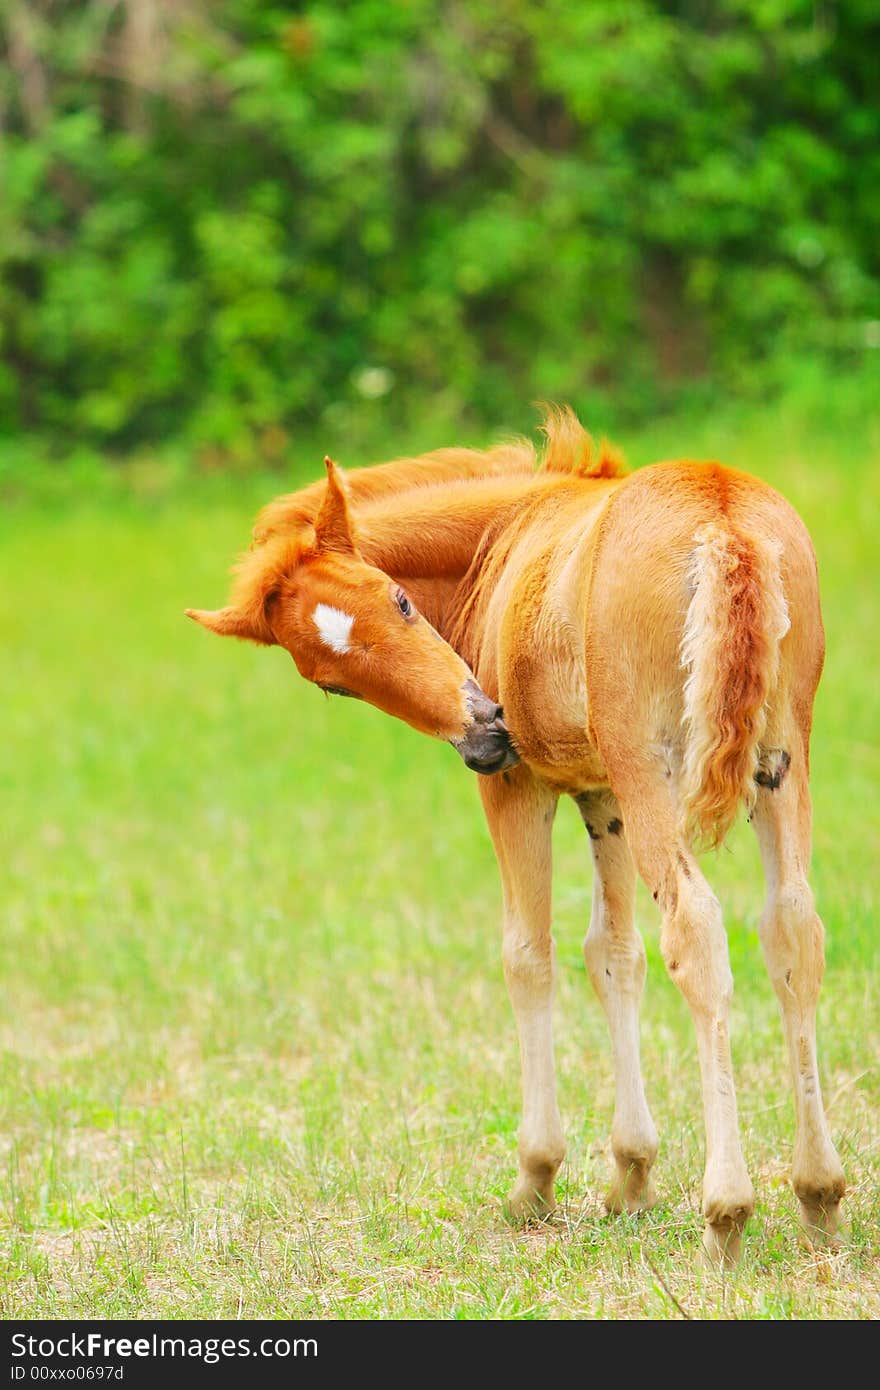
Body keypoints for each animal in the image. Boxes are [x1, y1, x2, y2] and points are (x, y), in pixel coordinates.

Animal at [187, 405, 845, 1267]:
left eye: (400, 601)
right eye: (330, 683)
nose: (481, 732)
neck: (504, 539)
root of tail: (723, 515)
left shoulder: (518, 787)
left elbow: (529, 956)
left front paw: (537, 1179)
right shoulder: (601, 794)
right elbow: (613, 954)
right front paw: (630, 1176)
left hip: (655, 765)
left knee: (697, 933)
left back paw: (727, 1212)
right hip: (778, 761)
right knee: (792, 930)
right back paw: (819, 1195)